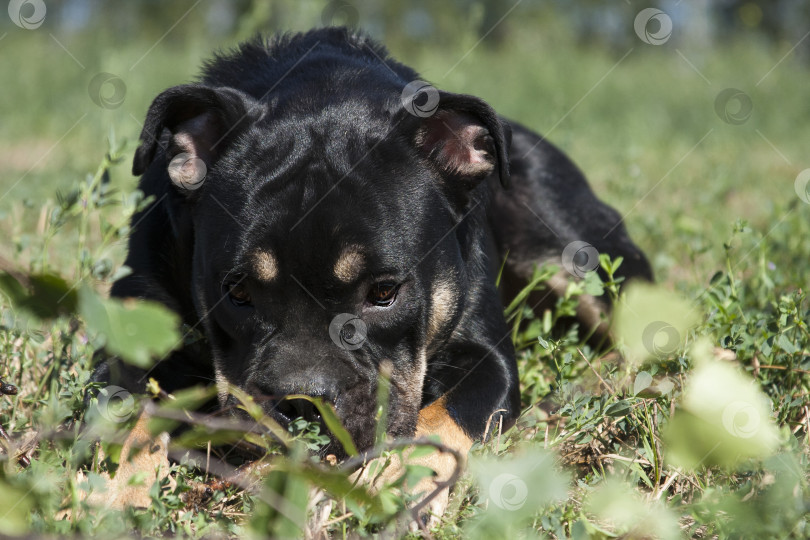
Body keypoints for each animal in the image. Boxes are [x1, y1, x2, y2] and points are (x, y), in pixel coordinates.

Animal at [91, 26, 652, 524]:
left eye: (384, 293)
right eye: (238, 292)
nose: (302, 400)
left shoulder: (486, 358)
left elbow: (441, 417)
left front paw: (395, 481)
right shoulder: (132, 332)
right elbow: (129, 413)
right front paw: (110, 499)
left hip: (571, 252)